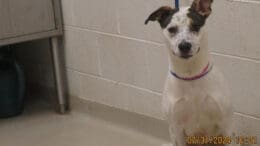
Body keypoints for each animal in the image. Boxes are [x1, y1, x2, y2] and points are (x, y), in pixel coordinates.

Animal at [145, 0, 235, 145]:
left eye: (195, 26)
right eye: (172, 29)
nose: (184, 46)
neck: (190, 74)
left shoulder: (226, 125)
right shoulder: (178, 129)